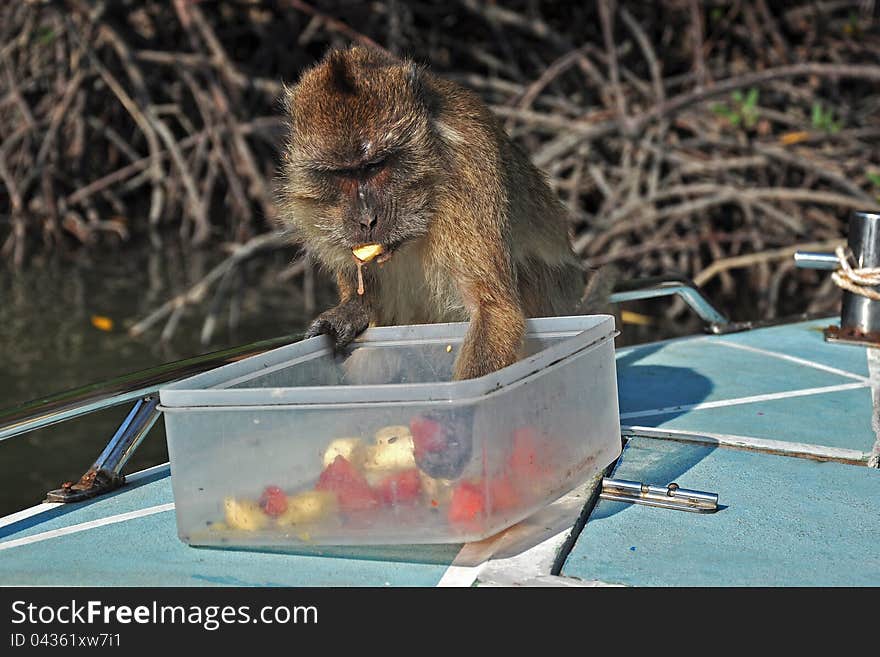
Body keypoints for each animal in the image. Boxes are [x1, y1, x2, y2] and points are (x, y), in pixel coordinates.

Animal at [278, 44, 600, 384]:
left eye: (377, 166)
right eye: (343, 174)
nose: (366, 220)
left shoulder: (469, 172)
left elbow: (495, 310)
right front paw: (351, 312)